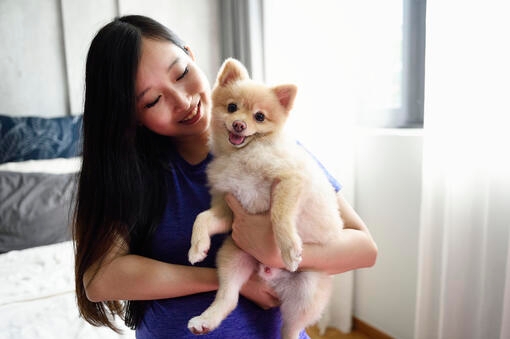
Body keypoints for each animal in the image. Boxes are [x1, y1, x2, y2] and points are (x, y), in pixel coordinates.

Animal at [186, 59, 342, 339]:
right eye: (232, 107)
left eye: (259, 116)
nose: (239, 124)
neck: (241, 155)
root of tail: (274, 280)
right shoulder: (228, 207)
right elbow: (202, 217)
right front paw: (197, 247)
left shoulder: (290, 180)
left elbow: (279, 215)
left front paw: (289, 248)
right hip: (233, 255)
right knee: (229, 299)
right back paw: (205, 320)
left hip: (307, 289)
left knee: (291, 328)